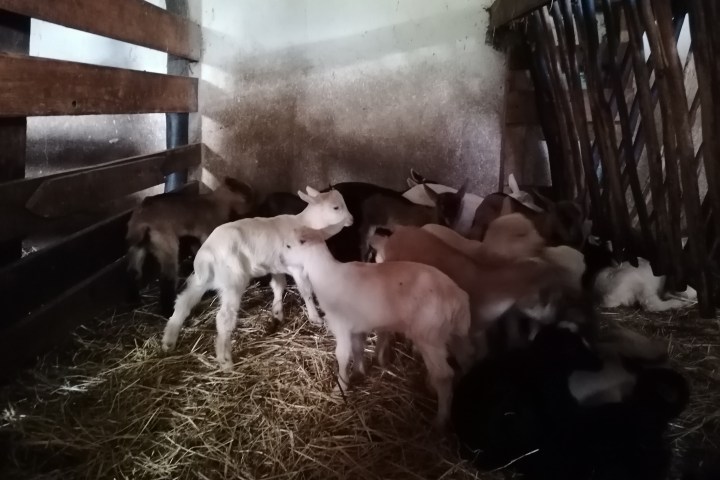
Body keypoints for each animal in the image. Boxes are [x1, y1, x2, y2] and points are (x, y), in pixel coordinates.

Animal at [126, 177, 254, 316]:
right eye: (246, 196)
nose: (253, 205)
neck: (216, 204)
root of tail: (143, 219)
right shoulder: (207, 233)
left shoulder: (195, 238)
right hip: (166, 243)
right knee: (167, 278)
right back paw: (168, 311)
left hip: (137, 247)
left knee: (133, 272)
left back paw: (133, 301)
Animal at [161, 186, 353, 369]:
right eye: (336, 207)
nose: (351, 220)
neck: (307, 224)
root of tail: (206, 254)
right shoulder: (298, 267)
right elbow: (306, 292)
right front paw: (315, 318)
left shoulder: (276, 265)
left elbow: (279, 285)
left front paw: (277, 312)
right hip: (233, 280)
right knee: (224, 317)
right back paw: (225, 361)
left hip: (201, 279)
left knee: (183, 302)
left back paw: (169, 340)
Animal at [281, 226, 474, 427]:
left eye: (288, 245)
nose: (281, 261)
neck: (326, 274)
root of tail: (458, 298)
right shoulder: (357, 327)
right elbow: (358, 349)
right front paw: (359, 371)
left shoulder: (341, 327)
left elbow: (342, 356)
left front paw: (340, 387)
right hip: (454, 333)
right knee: (467, 357)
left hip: (429, 336)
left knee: (444, 376)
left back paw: (440, 418)